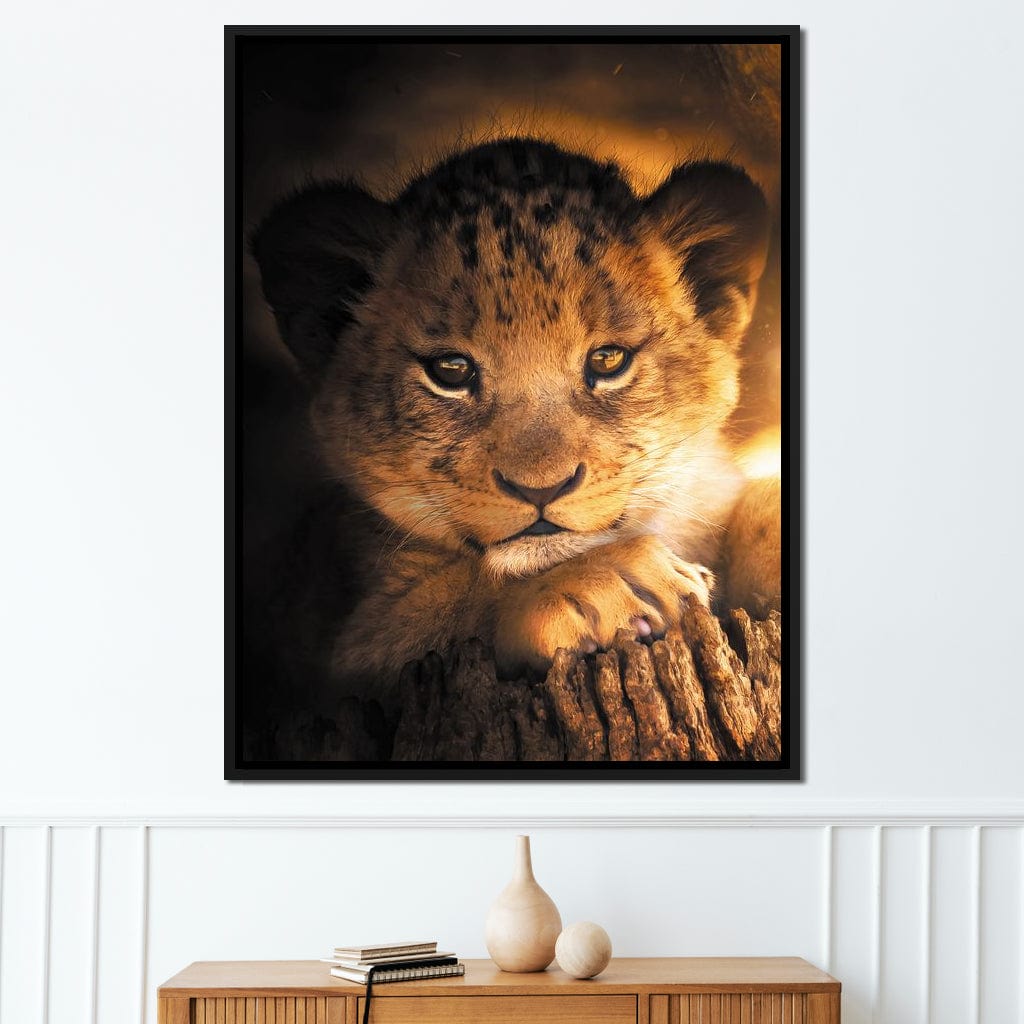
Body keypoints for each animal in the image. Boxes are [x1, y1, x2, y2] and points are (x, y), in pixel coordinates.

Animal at [252, 138, 780, 706]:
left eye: (608, 360)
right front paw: (604, 582)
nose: (541, 489)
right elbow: (447, 602)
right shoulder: (335, 653)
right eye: (450, 370)